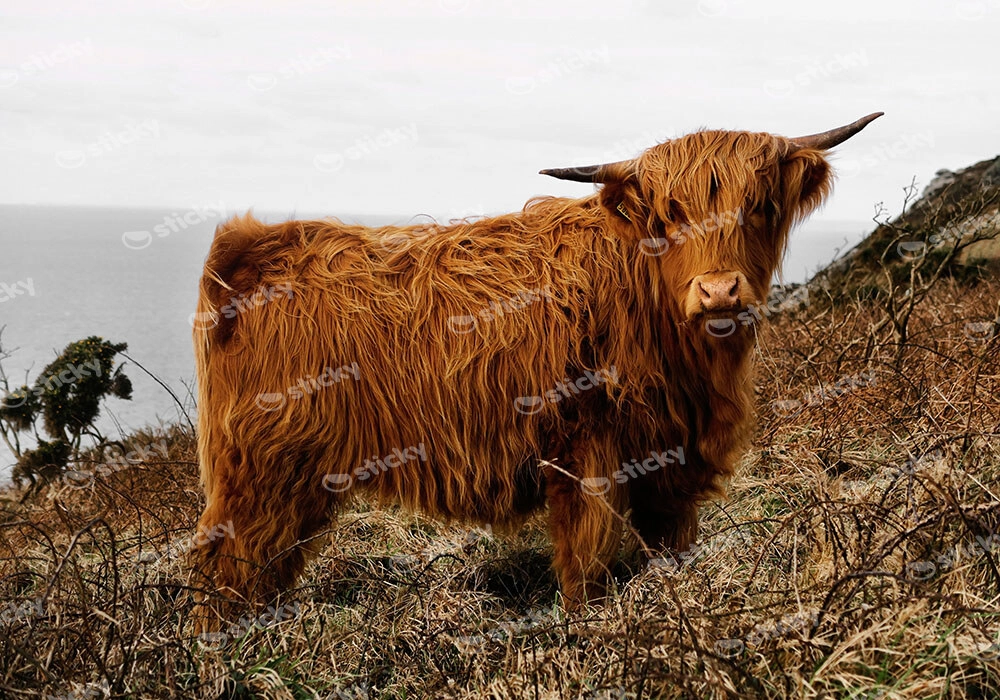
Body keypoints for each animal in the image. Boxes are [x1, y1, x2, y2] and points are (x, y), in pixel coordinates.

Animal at [188, 113, 883, 622]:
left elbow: (668, 548)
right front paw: (587, 631)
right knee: (227, 569)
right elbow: (587, 560)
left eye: (760, 206)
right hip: (261, 473)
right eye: (668, 216)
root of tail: (251, 246)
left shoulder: (669, 461)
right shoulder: (585, 452)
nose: (718, 292)